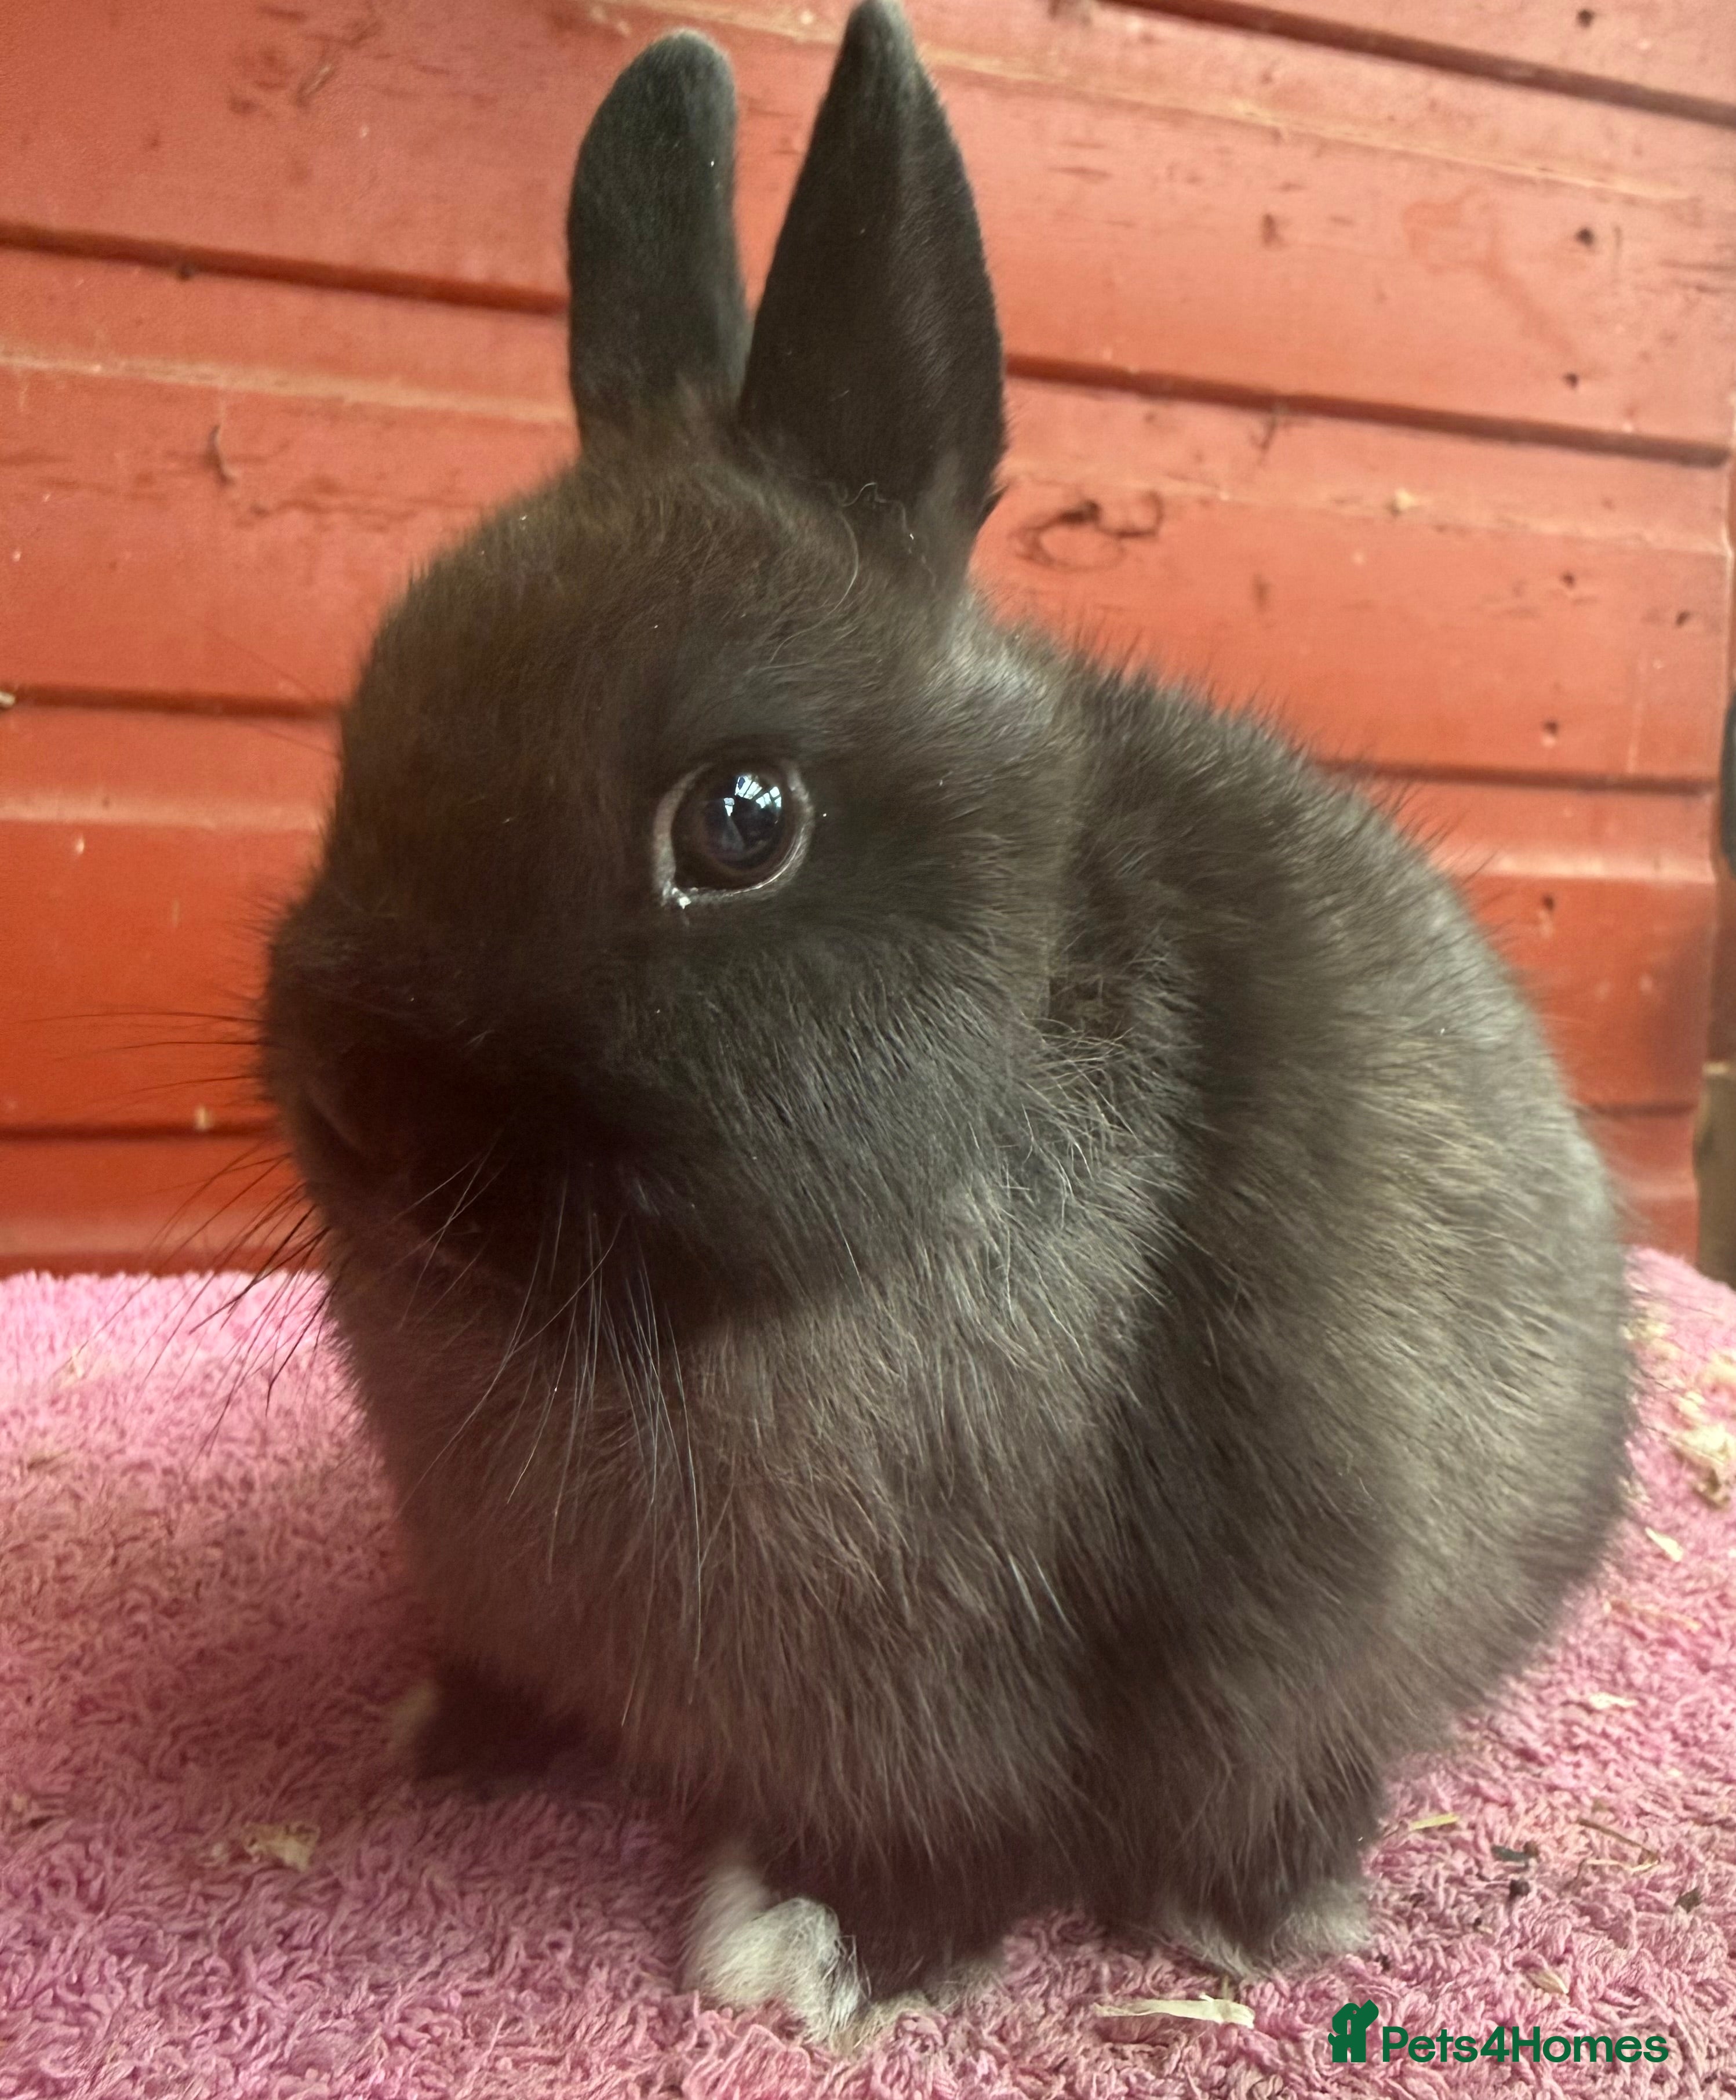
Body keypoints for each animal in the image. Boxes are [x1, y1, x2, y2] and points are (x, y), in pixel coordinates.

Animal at [261, 0, 1633, 2046]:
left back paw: (1241, 1896)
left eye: (738, 820)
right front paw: (448, 1726)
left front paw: (811, 1943)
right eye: (362, 722)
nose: (372, 1111)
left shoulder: (958, 1689)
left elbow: (951, 1819)